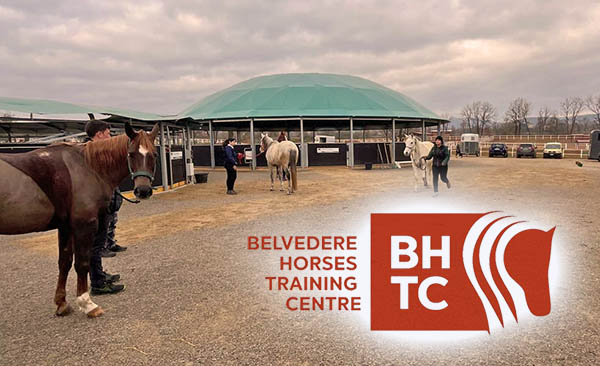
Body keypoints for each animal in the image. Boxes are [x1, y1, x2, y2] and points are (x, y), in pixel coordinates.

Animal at [0, 123, 158, 318]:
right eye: (131, 154)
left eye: (154, 154)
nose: (143, 191)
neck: (86, 167)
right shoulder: (84, 225)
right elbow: (82, 262)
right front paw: (87, 303)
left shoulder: (65, 226)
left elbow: (64, 262)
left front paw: (61, 303)